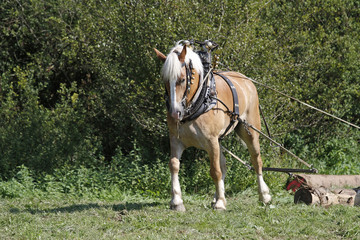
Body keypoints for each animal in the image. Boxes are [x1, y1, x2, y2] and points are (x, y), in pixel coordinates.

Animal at [154, 42, 270, 211]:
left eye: (182, 80)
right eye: (165, 81)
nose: (175, 113)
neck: (200, 100)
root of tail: (246, 80)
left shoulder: (211, 140)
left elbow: (215, 171)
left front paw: (221, 202)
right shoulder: (176, 139)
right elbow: (174, 165)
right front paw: (176, 200)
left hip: (249, 131)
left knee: (256, 161)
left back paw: (264, 195)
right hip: (219, 141)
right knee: (223, 165)